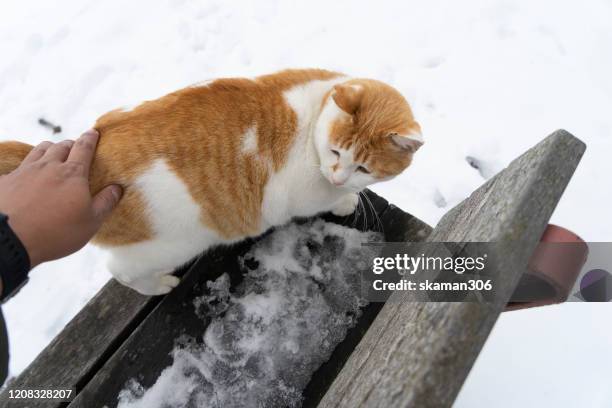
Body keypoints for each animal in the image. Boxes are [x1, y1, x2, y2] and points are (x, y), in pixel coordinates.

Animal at [0, 68, 420, 294]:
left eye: (364, 167)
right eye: (335, 152)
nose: (336, 175)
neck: (315, 114)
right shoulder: (300, 194)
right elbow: (326, 202)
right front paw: (346, 200)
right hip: (170, 243)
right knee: (120, 271)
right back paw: (158, 284)